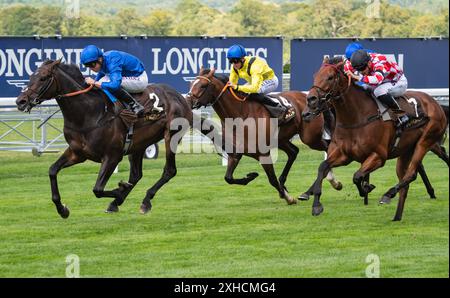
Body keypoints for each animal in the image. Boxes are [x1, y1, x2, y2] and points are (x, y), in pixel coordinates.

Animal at [15, 59, 192, 218]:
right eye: (31, 77)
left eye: (43, 78)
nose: (20, 101)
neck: (88, 113)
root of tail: (180, 96)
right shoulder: (77, 153)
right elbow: (52, 170)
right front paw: (62, 209)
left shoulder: (112, 156)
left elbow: (97, 189)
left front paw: (120, 191)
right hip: (139, 144)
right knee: (136, 175)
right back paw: (116, 203)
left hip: (171, 136)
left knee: (169, 171)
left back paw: (145, 201)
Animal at [185, 68, 342, 205]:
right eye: (191, 84)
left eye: (203, 85)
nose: (188, 101)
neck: (240, 114)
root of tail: (311, 98)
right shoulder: (235, 153)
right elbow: (228, 178)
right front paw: (250, 176)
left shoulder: (263, 153)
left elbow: (271, 179)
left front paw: (288, 198)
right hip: (282, 139)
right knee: (294, 152)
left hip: (310, 137)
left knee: (327, 147)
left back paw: (331, 182)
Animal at [302, 57, 446, 221]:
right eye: (315, 76)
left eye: (330, 77)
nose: (311, 100)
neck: (357, 117)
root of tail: (435, 103)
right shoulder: (344, 155)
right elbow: (323, 167)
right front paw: (316, 204)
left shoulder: (378, 156)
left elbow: (357, 176)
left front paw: (366, 188)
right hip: (406, 151)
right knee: (407, 179)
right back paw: (397, 216)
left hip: (425, 142)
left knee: (412, 173)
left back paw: (388, 194)